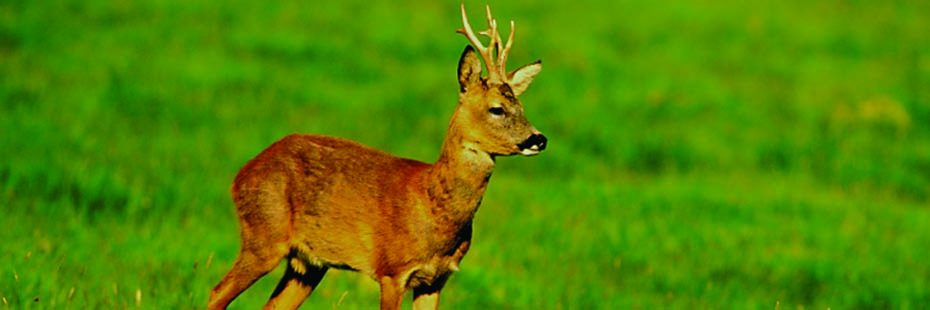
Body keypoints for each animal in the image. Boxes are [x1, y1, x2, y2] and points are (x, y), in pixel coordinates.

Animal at [205, 3, 544, 308]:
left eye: (522, 107)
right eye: (497, 109)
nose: (539, 139)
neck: (433, 209)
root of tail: (240, 175)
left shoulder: (436, 279)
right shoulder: (393, 270)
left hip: (308, 264)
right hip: (264, 234)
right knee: (216, 293)